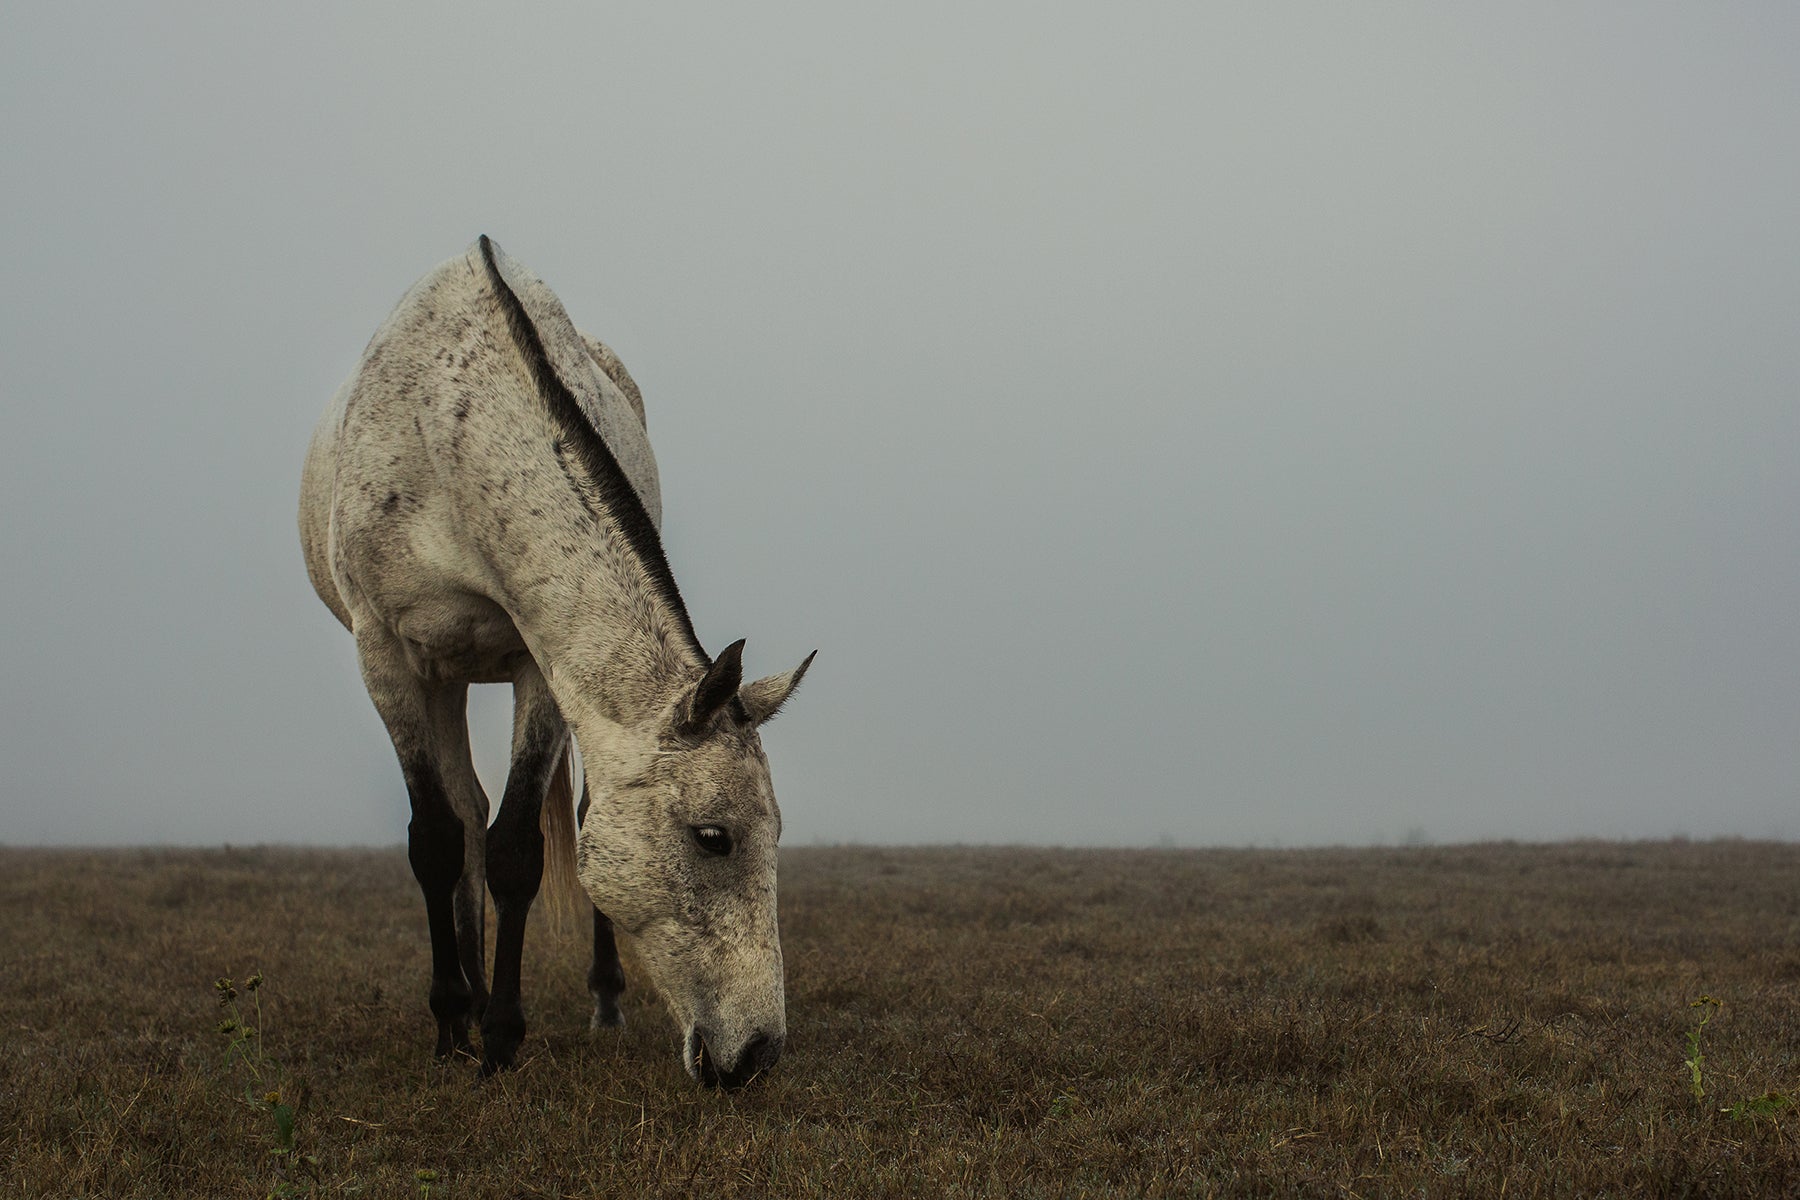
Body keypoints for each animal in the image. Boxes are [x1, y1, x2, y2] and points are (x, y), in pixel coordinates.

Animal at [298, 236, 813, 1087]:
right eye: (714, 836)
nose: (757, 1055)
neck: (451, 441)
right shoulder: (388, 658)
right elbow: (438, 839)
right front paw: (456, 1028)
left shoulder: (541, 666)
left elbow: (517, 848)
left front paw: (502, 1038)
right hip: (441, 678)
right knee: (462, 813)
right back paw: (465, 1000)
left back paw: (598, 1000)